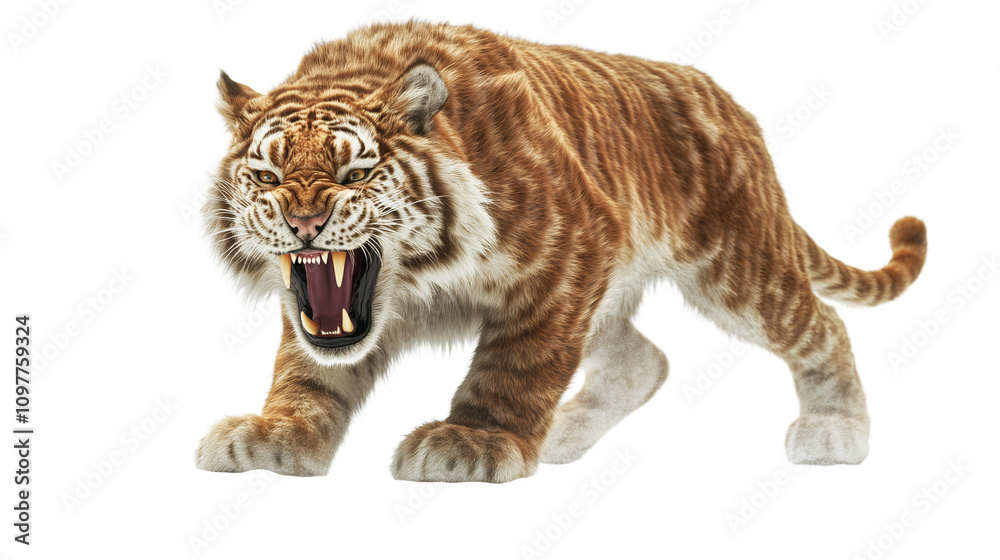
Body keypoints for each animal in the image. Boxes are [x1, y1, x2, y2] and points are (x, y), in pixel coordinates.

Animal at [195, 21, 927, 482]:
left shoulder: (570, 251)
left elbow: (517, 364)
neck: (418, 281)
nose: (304, 221)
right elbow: (306, 372)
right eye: (267, 176)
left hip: (740, 269)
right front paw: (274, 435)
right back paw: (562, 437)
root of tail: (737, 110)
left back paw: (836, 432)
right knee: (643, 360)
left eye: (354, 174)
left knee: (822, 325)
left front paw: (475, 442)